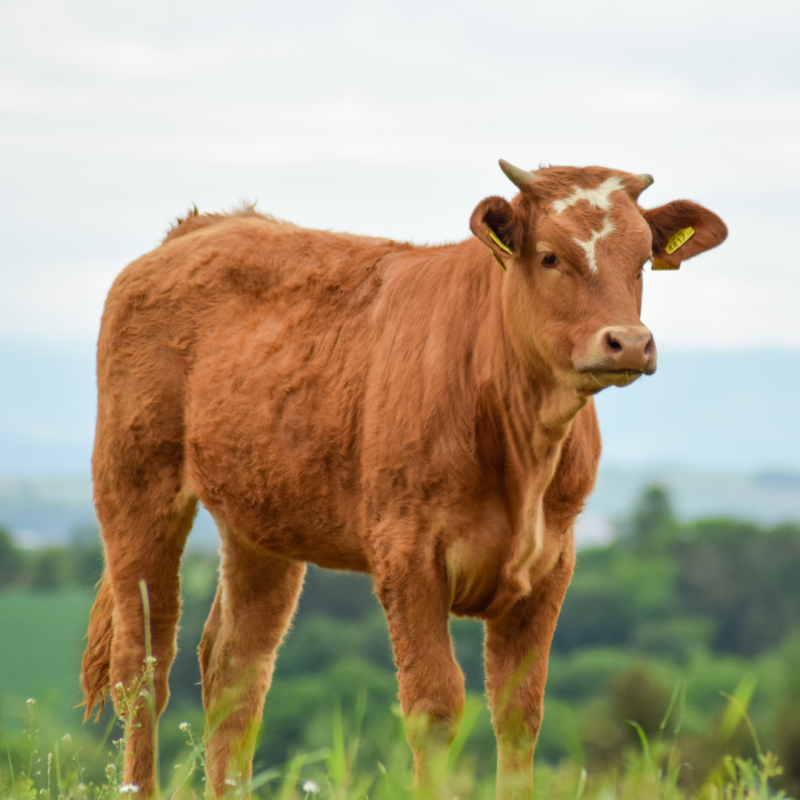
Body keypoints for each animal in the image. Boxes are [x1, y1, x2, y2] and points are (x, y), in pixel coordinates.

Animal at [84, 159, 728, 796]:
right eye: (549, 256)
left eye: (643, 260)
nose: (630, 342)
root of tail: (206, 225)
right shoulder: (407, 550)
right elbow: (434, 706)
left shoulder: (552, 561)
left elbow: (520, 711)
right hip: (135, 484)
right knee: (142, 668)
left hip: (261, 524)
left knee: (234, 670)